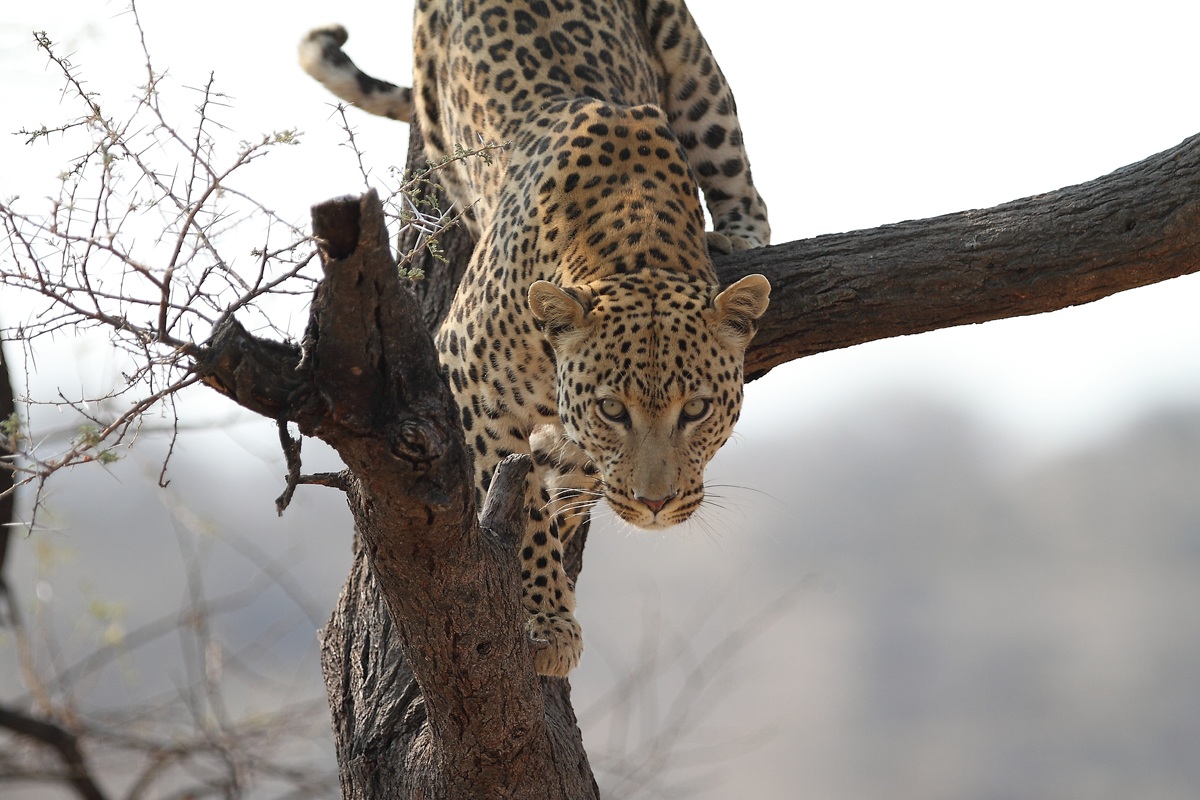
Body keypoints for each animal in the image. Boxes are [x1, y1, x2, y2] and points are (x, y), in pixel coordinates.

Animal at [301, 0, 771, 677]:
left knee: (738, 172)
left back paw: (739, 234)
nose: (655, 504)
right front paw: (542, 614)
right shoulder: (469, 384)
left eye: (697, 410)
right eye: (613, 410)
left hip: (695, 71)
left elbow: (563, 487)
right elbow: (523, 509)